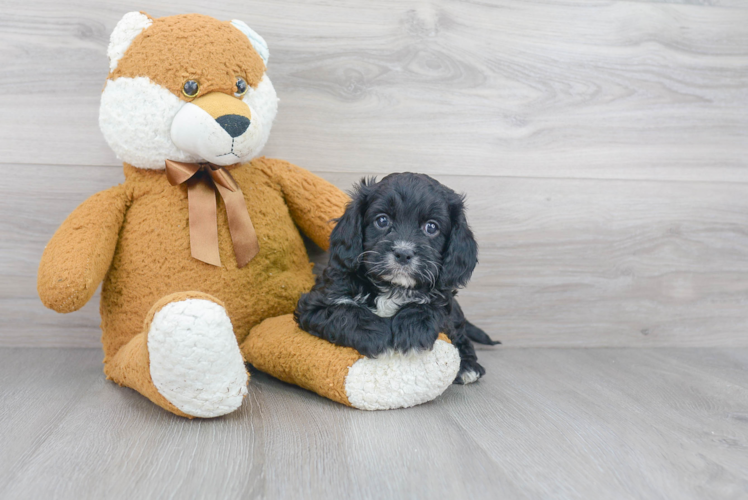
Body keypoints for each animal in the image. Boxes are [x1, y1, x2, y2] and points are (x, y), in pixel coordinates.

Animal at [296, 172, 500, 382]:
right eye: (382, 220)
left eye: (431, 227)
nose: (403, 253)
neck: (393, 287)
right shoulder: (316, 303)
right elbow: (345, 312)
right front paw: (379, 335)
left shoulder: (444, 299)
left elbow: (430, 307)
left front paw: (412, 330)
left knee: (460, 335)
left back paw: (468, 366)